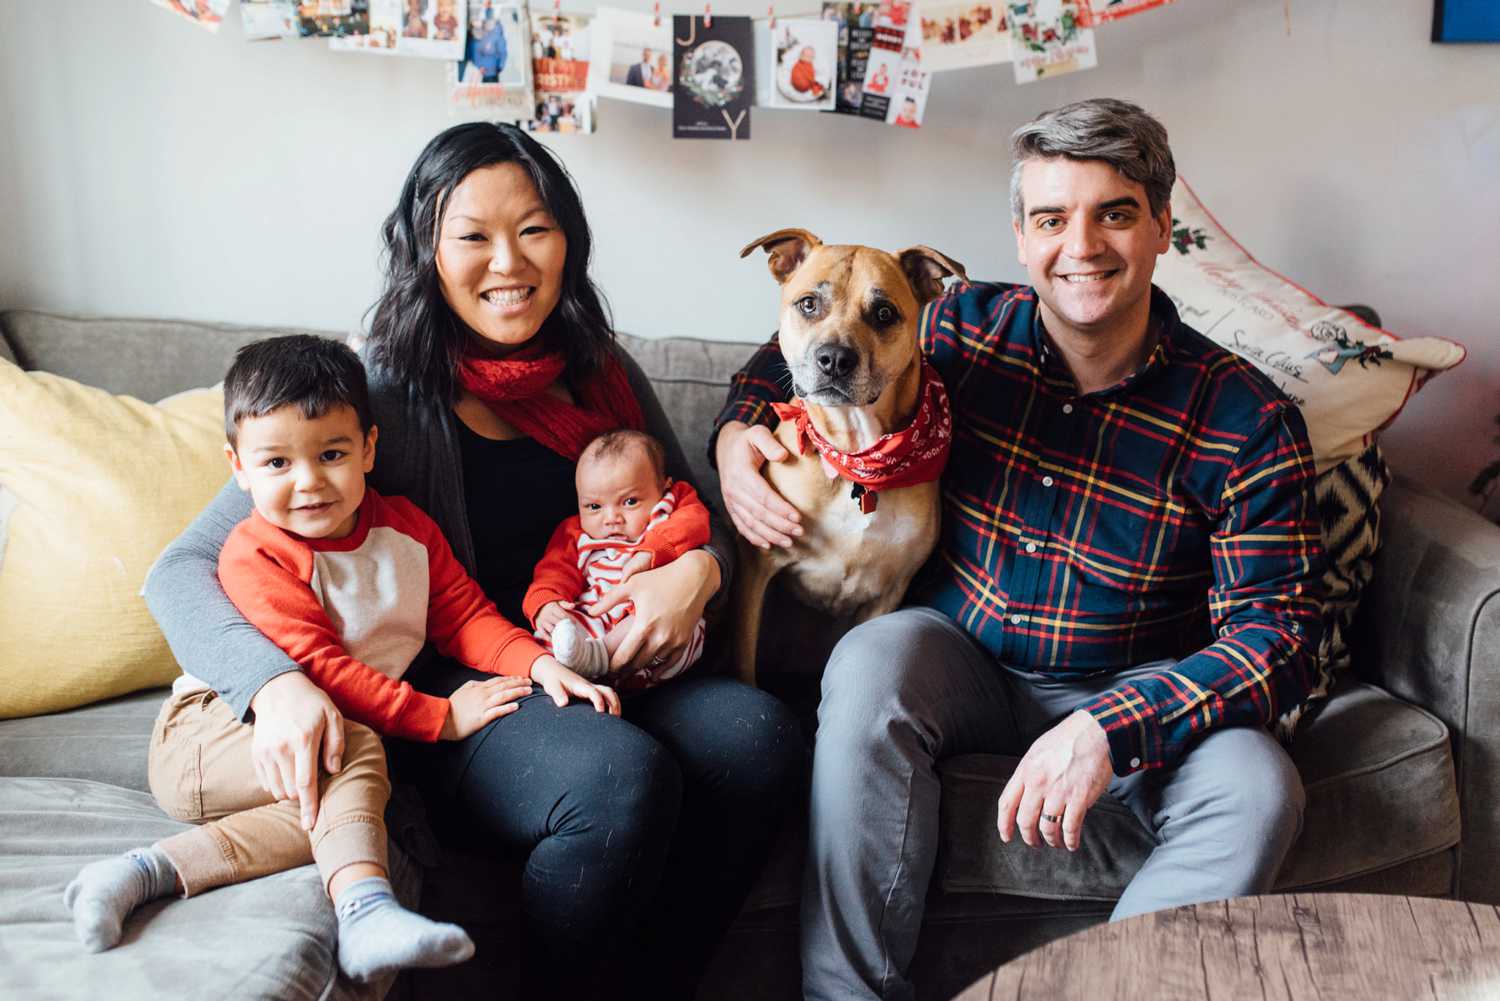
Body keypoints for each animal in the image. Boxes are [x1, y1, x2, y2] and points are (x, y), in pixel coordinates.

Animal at [732, 229, 966, 690]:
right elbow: (744, 658)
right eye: (808, 304)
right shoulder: (757, 569)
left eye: (884, 313)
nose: (835, 359)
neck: (855, 456)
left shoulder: (887, 593)